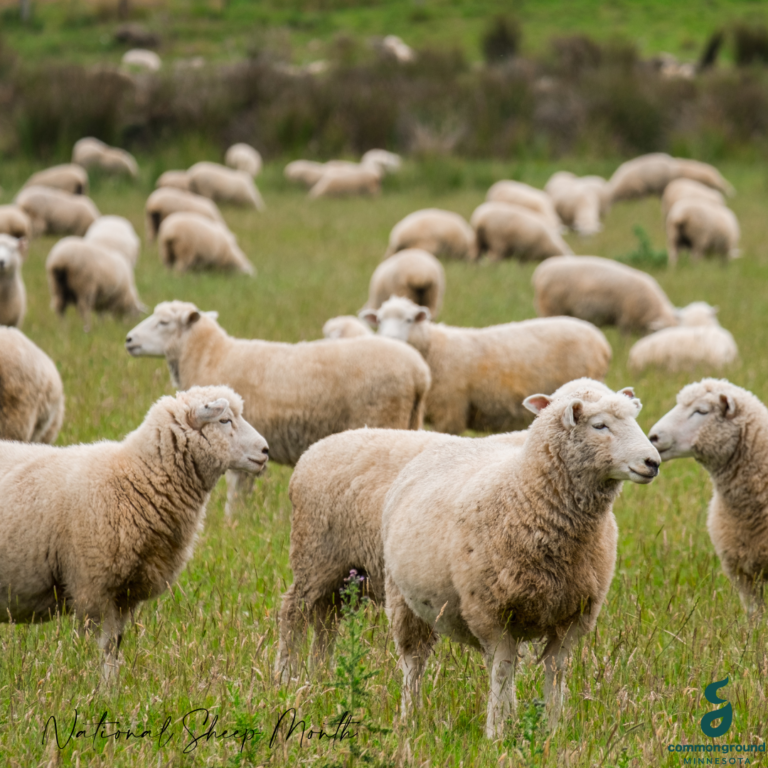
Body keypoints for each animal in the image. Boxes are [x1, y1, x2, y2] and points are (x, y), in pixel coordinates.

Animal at [0, 385, 268, 678]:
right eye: (224, 420)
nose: (266, 450)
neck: (136, 477)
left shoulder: (124, 594)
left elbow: (115, 647)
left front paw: (111, 686)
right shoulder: (94, 586)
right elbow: (102, 648)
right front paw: (96, 687)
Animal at [124, 301, 432, 511]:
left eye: (163, 322)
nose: (128, 339)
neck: (209, 355)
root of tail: (419, 373)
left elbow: (236, 487)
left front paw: (232, 521)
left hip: (384, 417)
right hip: (410, 421)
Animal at [275, 377, 620, 681]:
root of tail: (314, 450)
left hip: (347, 573)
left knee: (326, 621)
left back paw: (319, 675)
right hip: (316, 558)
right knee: (292, 613)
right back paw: (285, 676)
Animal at [361, 295, 611, 434]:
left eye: (409, 320)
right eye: (379, 320)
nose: (389, 338)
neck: (433, 350)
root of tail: (601, 341)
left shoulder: (450, 413)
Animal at [382, 384, 660, 736]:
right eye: (599, 425)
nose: (653, 462)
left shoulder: (573, 614)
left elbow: (555, 670)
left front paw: (553, 729)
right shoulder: (491, 613)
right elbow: (501, 671)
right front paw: (497, 733)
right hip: (403, 600)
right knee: (413, 663)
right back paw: (410, 719)